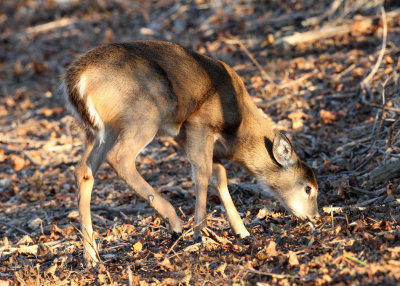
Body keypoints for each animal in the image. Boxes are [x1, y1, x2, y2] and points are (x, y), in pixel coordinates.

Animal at [60, 40, 318, 266]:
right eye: (308, 188)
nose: (315, 216)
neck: (238, 130)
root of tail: (77, 80)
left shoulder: (184, 135)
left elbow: (219, 177)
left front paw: (241, 231)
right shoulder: (199, 123)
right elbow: (202, 174)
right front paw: (200, 232)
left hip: (99, 130)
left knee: (83, 170)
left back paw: (91, 257)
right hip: (144, 115)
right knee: (119, 158)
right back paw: (174, 223)